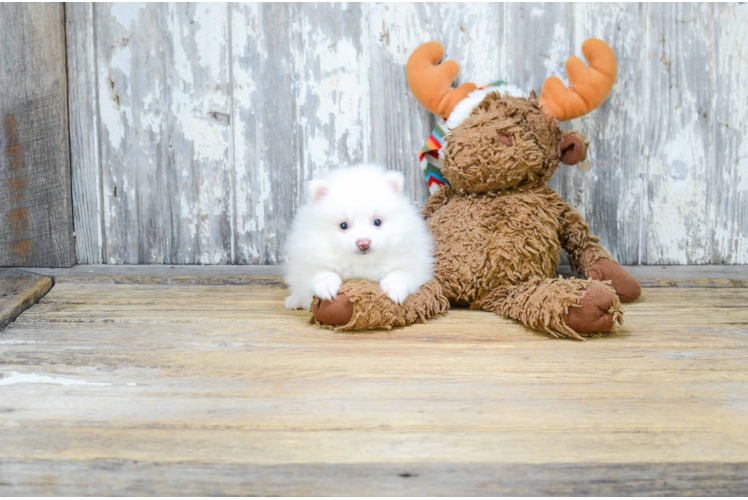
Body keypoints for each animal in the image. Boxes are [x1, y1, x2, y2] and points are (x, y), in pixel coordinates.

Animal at [284, 164, 432, 310]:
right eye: (344, 225)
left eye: (377, 222)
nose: (364, 243)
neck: (362, 262)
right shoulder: (307, 261)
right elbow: (320, 272)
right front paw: (326, 286)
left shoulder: (413, 262)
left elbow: (399, 274)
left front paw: (395, 290)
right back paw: (294, 301)